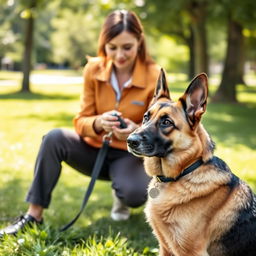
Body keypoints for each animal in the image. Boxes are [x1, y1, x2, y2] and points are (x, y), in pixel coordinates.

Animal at [127, 70, 256, 256]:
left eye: (166, 122)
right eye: (146, 117)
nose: (130, 140)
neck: (184, 171)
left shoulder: (192, 251)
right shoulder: (165, 248)